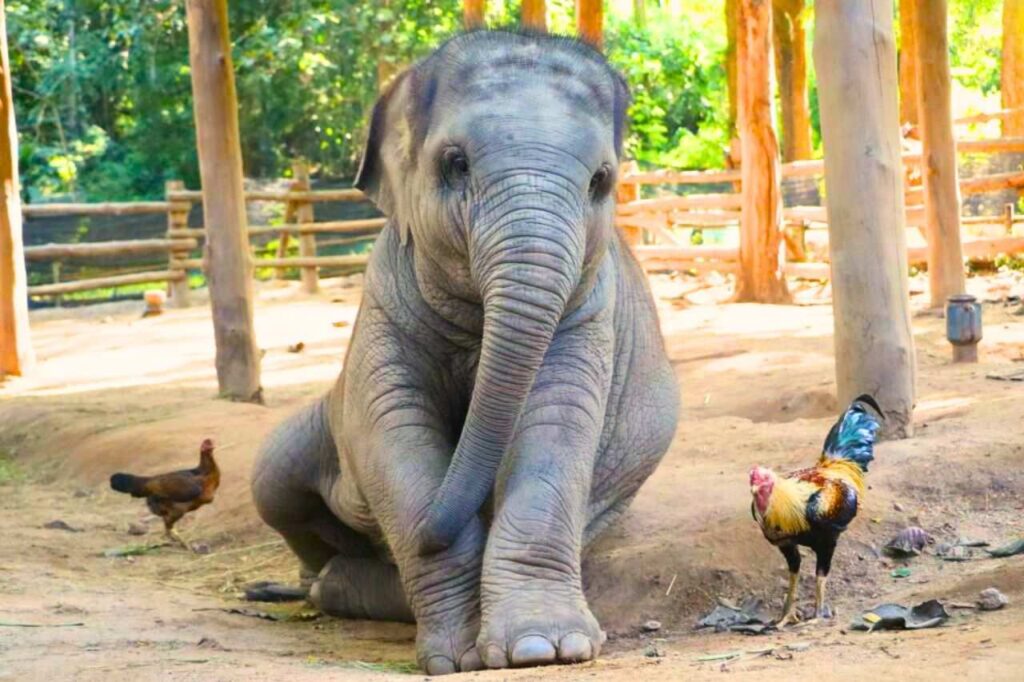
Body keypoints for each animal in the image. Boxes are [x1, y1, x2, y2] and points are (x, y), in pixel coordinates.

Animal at [251, 30, 679, 675]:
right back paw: (323, 582)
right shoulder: (383, 300)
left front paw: (542, 649)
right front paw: (461, 658)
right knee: (271, 478)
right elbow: (394, 432)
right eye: (455, 164)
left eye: (601, 181)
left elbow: (555, 427)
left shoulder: (588, 313)